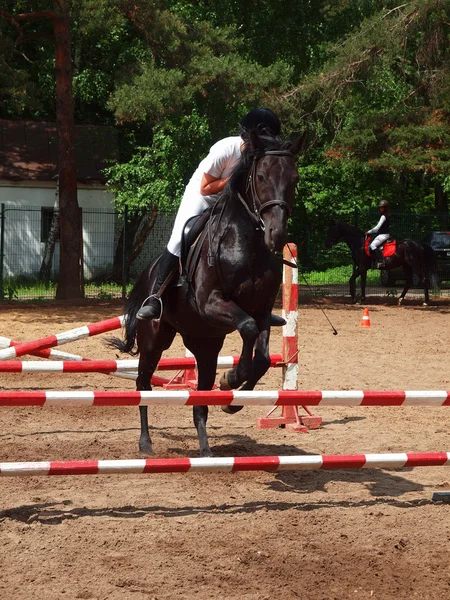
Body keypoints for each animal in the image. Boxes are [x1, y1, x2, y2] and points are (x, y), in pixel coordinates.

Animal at [110, 126, 306, 454]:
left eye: (294, 179)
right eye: (261, 176)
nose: (276, 235)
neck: (247, 245)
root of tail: (147, 273)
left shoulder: (262, 311)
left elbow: (263, 357)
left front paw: (233, 398)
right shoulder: (212, 302)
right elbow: (248, 328)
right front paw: (233, 377)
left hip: (205, 344)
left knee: (199, 401)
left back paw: (204, 448)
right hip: (154, 340)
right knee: (143, 384)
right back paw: (146, 443)